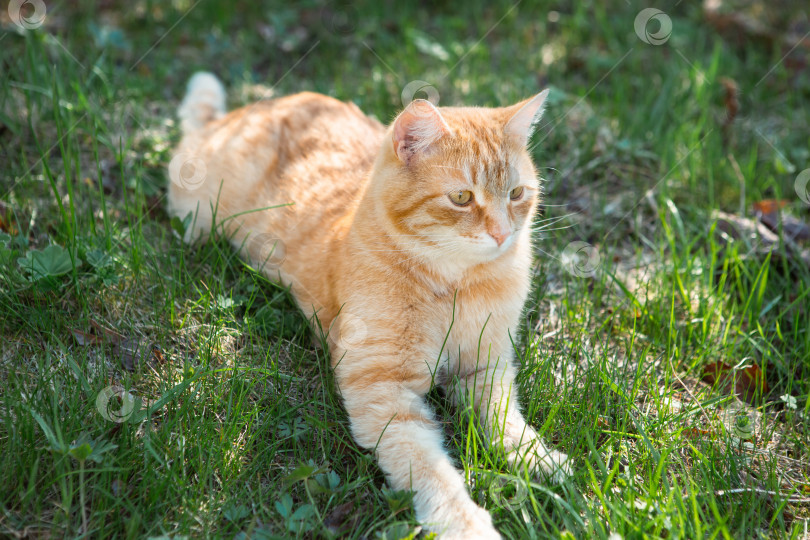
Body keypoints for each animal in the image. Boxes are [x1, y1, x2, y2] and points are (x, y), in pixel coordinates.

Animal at [167, 73, 568, 540]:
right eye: (461, 198)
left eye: (518, 193)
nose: (503, 234)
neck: (454, 285)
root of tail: (241, 113)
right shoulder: (381, 389)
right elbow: (428, 469)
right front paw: (463, 523)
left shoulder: (486, 368)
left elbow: (507, 423)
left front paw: (540, 460)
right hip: (199, 215)